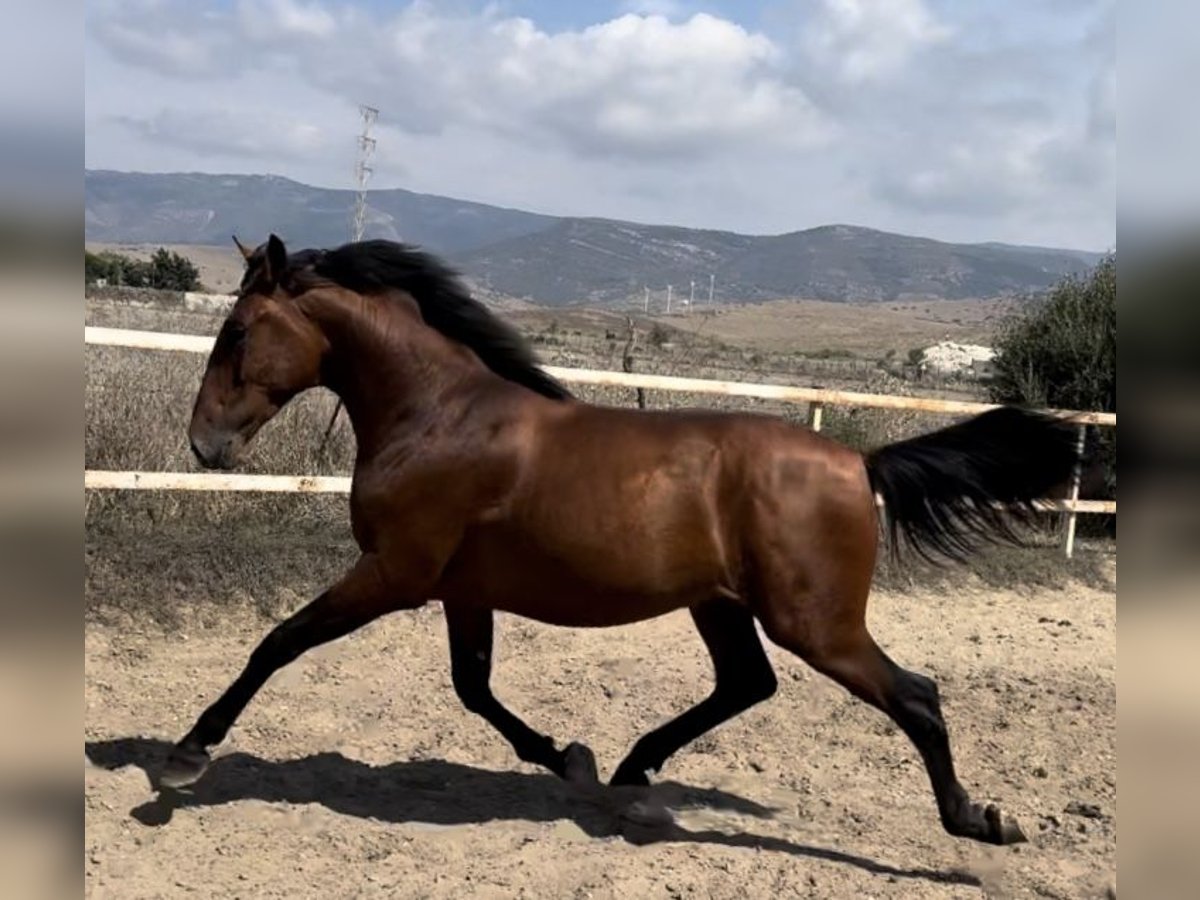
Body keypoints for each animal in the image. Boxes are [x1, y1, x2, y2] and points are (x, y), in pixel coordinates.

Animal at [162, 236, 1080, 849]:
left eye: (237, 331)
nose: (204, 445)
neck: (439, 416)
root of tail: (861, 460)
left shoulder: (395, 572)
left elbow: (279, 642)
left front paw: (185, 755)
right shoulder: (461, 590)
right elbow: (473, 689)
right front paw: (567, 756)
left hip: (815, 621)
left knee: (915, 695)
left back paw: (979, 822)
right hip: (722, 605)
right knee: (747, 684)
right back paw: (635, 770)